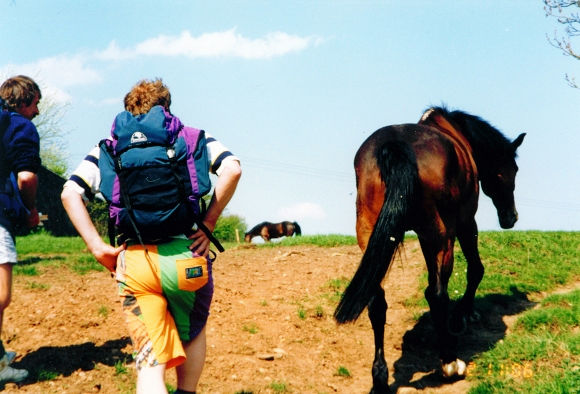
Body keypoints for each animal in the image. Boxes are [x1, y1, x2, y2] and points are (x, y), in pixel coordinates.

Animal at [330, 106, 524, 392]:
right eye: (513, 169)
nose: (511, 217)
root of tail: (396, 147)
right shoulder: (465, 222)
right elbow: (475, 269)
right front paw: (464, 314)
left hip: (372, 237)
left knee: (377, 304)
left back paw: (380, 378)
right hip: (440, 237)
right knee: (437, 294)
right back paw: (449, 361)